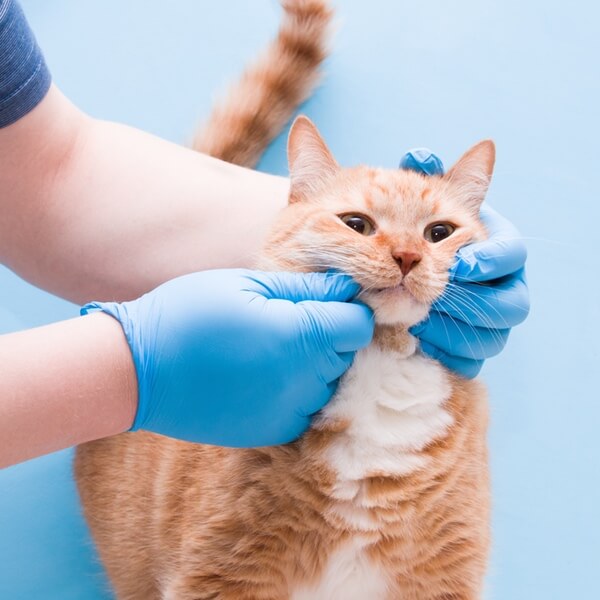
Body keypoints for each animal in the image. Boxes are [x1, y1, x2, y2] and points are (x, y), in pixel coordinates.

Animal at [75, 2, 492, 596]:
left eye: (439, 233)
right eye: (357, 224)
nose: (409, 257)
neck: (381, 366)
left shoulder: (443, 577)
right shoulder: (221, 573)